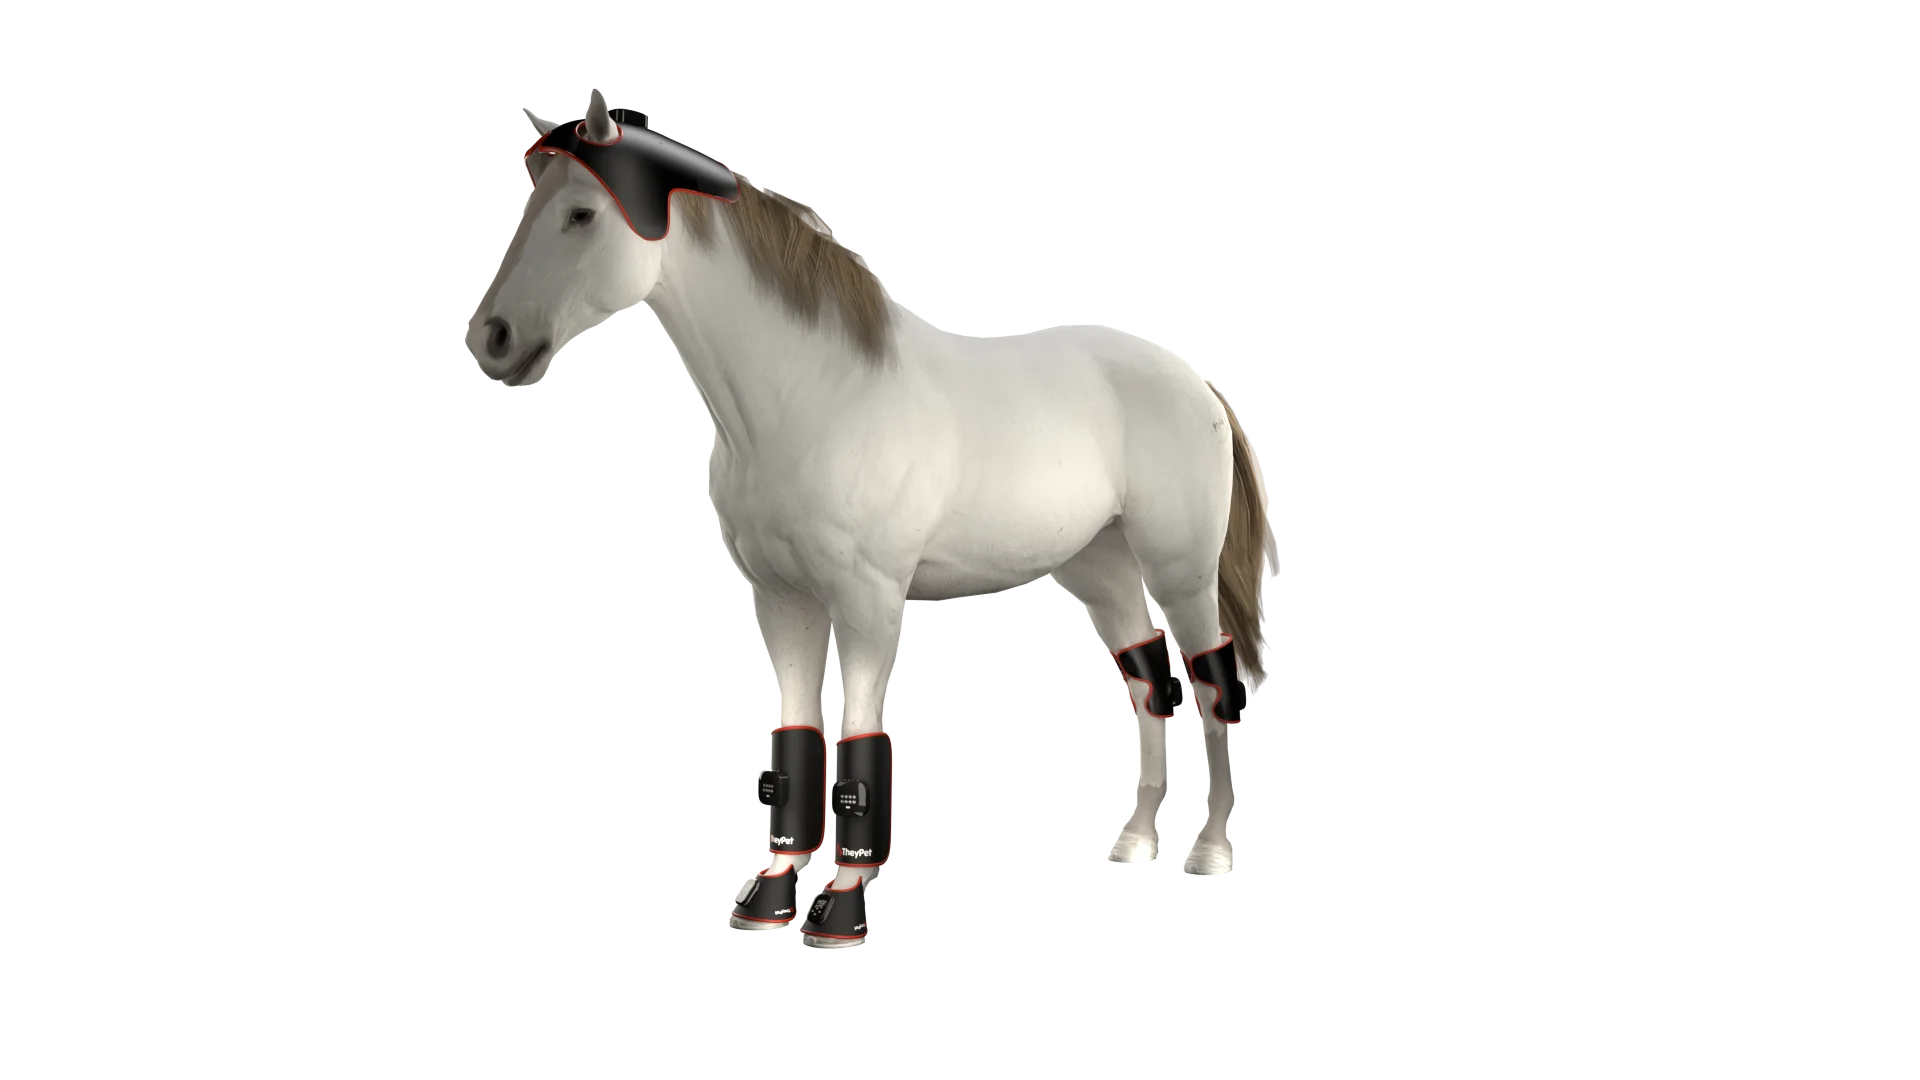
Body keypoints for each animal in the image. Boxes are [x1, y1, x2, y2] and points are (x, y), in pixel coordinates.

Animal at [467, 89, 1279, 947]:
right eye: (530, 202)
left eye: (582, 213)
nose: (492, 338)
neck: (810, 395)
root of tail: (1196, 382)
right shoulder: (783, 602)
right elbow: (795, 745)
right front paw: (768, 901)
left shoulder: (866, 605)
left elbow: (860, 748)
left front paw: (843, 909)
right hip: (1105, 572)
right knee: (1148, 683)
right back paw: (1134, 843)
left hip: (1182, 575)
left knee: (1209, 688)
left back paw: (1209, 853)